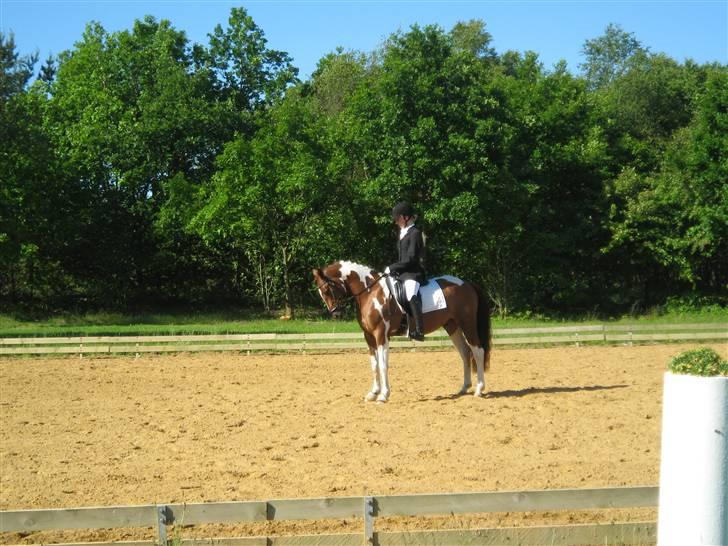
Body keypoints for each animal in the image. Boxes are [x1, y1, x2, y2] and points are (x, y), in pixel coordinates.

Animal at [310, 260, 492, 400]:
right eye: (321, 292)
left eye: (326, 290)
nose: (336, 313)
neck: (370, 292)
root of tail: (466, 284)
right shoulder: (369, 336)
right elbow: (374, 364)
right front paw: (373, 393)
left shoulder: (381, 335)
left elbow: (383, 364)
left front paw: (383, 395)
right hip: (452, 326)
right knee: (465, 352)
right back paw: (464, 388)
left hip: (467, 323)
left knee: (477, 351)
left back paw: (479, 389)